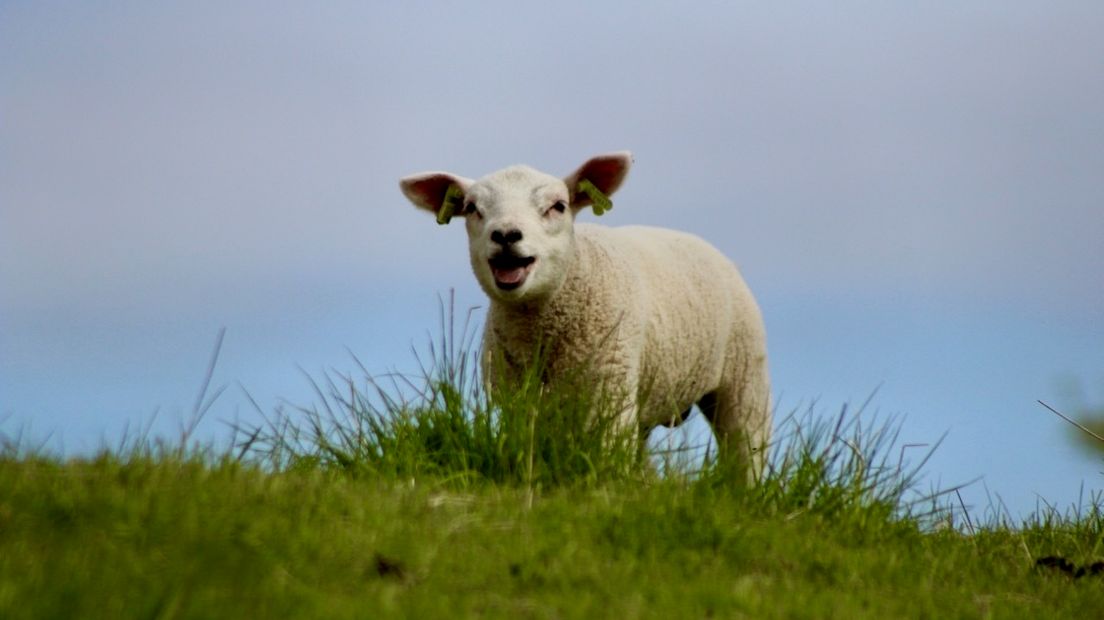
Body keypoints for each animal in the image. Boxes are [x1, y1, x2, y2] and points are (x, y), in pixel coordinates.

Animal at [401, 152, 772, 474]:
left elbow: (607, 452)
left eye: (558, 206)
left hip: (743, 373)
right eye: (472, 208)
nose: (505, 234)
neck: (541, 330)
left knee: (746, 447)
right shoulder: (516, 398)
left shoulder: (610, 390)